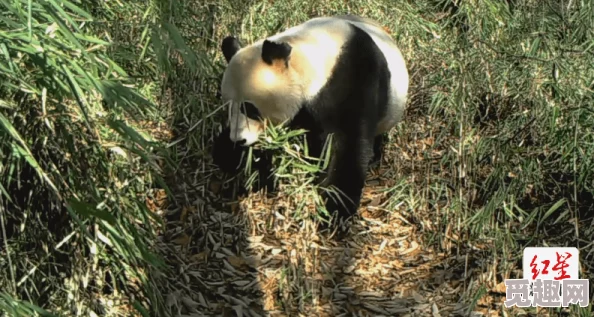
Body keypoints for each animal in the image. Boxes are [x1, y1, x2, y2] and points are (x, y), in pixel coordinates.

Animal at [210, 15, 410, 227]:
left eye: (250, 109)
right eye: (228, 108)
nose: (238, 139)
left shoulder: (354, 78)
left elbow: (346, 143)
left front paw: (335, 209)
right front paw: (228, 153)